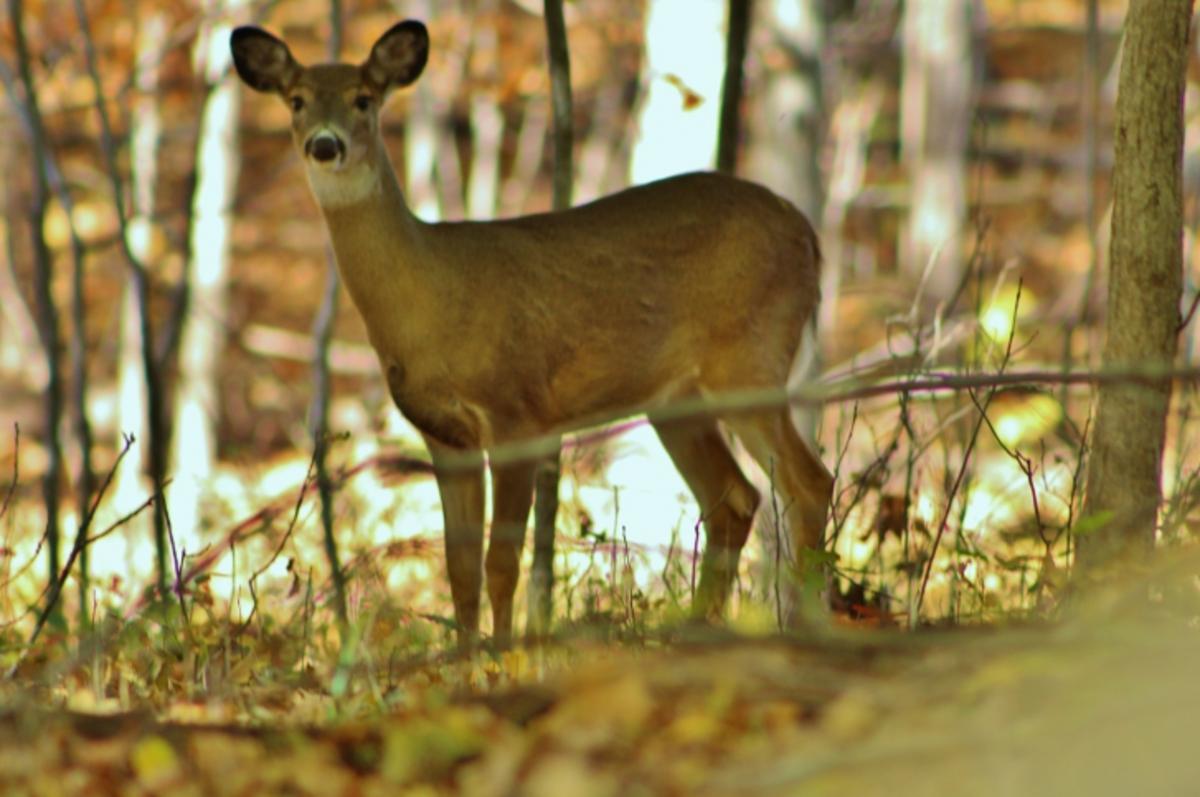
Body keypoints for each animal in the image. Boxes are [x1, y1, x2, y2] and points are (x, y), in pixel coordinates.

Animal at [229, 19, 834, 646]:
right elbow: (459, 568)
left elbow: (501, 561)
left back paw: (807, 625)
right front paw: (465, 659)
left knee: (808, 482)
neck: (432, 295)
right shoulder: (444, 436)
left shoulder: (517, 414)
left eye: (364, 98)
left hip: (750, 356)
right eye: (296, 100)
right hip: (675, 398)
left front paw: (504, 654)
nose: (325, 145)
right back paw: (697, 630)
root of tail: (806, 232)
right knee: (734, 497)